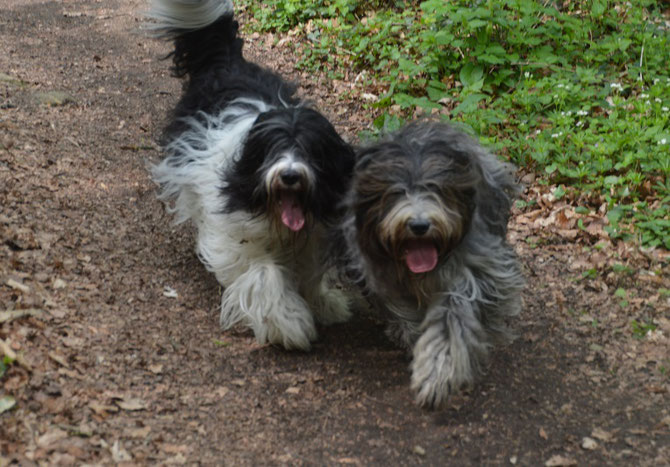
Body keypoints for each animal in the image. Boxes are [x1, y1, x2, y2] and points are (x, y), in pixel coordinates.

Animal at [148, 0, 356, 352]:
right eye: (274, 152)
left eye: (311, 153)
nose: (290, 175)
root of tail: (229, 62)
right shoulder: (235, 232)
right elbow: (263, 272)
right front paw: (287, 322)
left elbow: (311, 272)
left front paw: (323, 302)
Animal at [344, 120, 528, 410]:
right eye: (396, 192)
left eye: (435, 188)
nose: (419, 225)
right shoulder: (380, 277)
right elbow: (402, 313)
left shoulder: (481, 269)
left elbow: (451, 318)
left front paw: (437, 375)